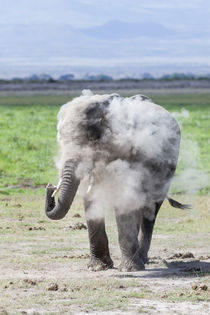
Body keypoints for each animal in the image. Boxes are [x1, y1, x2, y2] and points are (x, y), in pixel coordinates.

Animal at [44, 90, 189, 272]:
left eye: (94, 138)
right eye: (61, 138)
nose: (49, 187)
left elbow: (124, 196)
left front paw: (130, 269)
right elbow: (93, 198)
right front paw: (98, 267)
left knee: (151, 208)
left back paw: (142, 259)